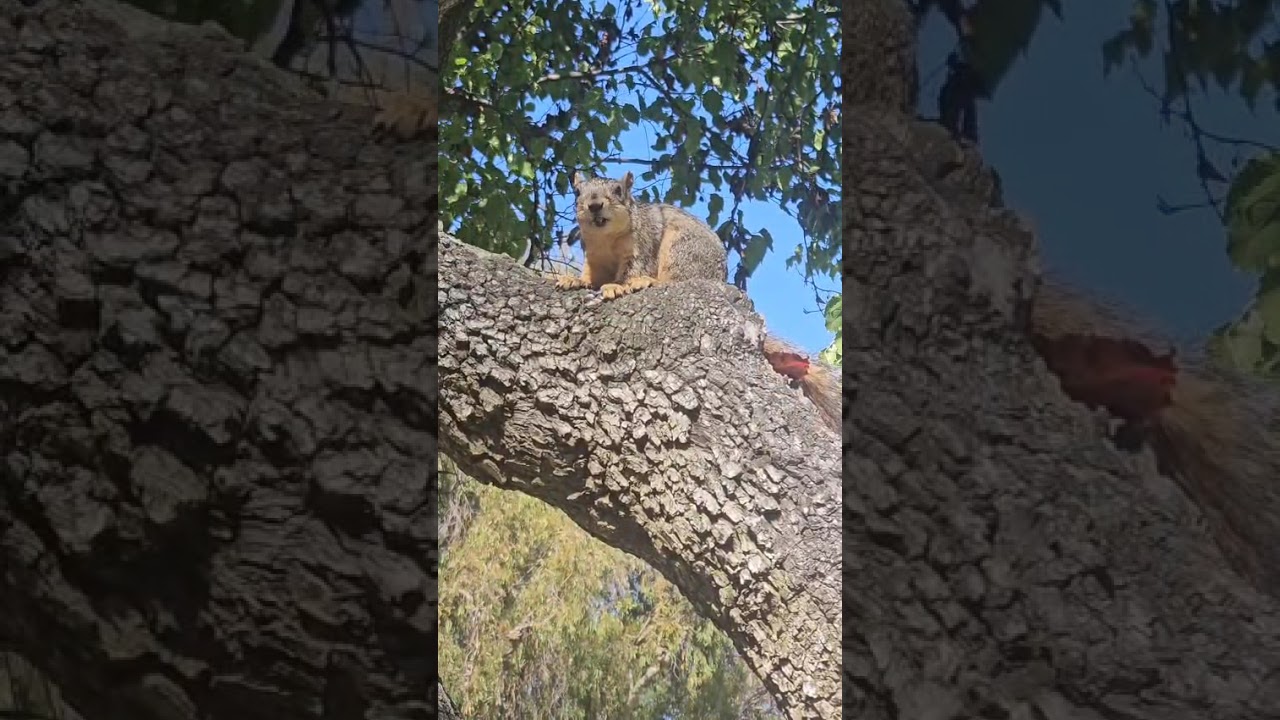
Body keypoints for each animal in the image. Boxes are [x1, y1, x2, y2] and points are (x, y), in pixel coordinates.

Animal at [552, 171, 842, 433]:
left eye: (618, 190)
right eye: (577, 192)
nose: (594, 205)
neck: (606, 239)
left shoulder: (640, 248)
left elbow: (633, 271)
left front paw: (617, 286)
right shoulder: (594, 258)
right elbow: (590, 277)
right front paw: (573, 280)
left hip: (681, 248)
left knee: (673, 279)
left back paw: (648, 283)